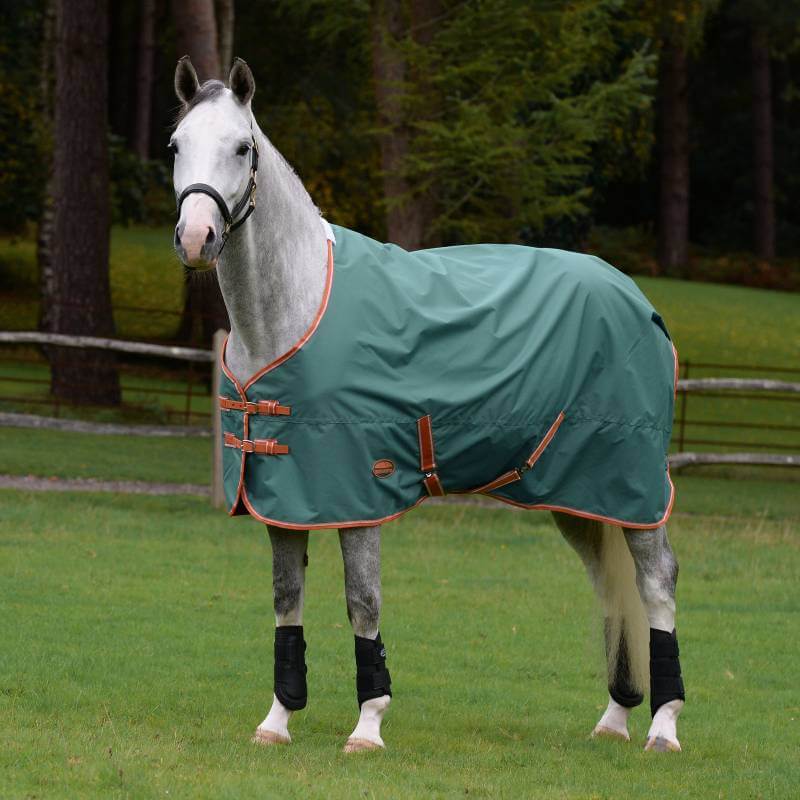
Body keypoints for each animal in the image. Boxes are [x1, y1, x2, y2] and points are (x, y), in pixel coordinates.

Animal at [170, 56, 686, 754]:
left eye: (242, 147)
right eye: (176, 145)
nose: (197, 237)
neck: (293, 310)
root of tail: (638, 299)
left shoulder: (356, 492)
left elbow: (363, 602)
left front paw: (367, 726)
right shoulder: (282, 495)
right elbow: (286, 599)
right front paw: (277, 721)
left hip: (633, 486)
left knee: (656, 582)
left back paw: (663, 726)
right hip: (581, 496)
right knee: (611, 585)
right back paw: (614, 720)